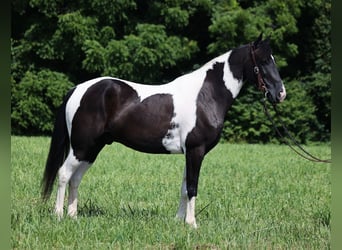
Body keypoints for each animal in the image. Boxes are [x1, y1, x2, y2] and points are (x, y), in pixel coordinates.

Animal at [40, 34, 286, 228]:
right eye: (264, 61)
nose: (280, 94)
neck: (206, 95)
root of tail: (77, 89)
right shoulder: (196, 150)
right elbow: (193, 187)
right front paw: (192, 224)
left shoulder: (191, 152)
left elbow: (185, 187)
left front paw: (179, 221)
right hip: (81, 147)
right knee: (64, 174)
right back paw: (59, 215)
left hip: (91, 149)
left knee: (75, 179)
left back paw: (73, 216)